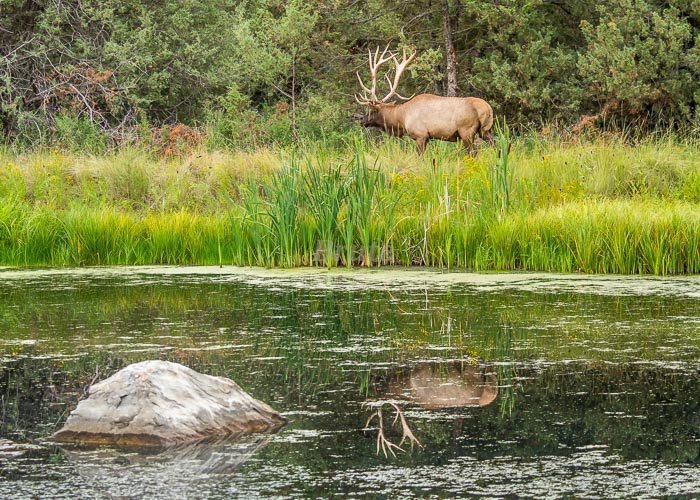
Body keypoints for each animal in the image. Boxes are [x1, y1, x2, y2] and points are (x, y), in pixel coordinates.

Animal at [352, 47, 494, 156]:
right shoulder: (427, 138)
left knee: (473, 153)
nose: (362, 120)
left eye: (371, 110)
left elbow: (419, 156)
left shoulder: (421, 135)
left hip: (466, 131)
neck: (402, 118)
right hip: (485, 130)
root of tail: (486, 108)